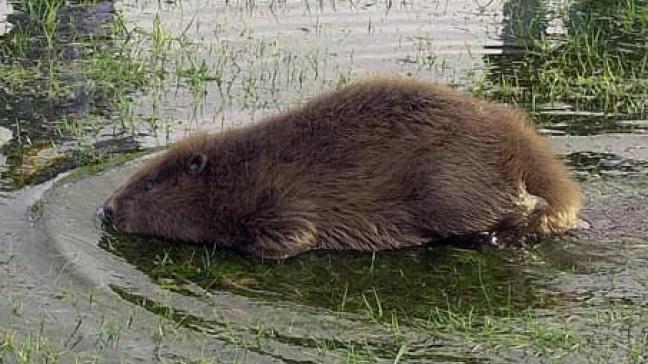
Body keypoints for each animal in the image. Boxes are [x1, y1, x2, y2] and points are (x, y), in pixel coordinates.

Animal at [100, 77, 584, 258]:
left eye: (150, 184)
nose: (106, 209)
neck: (246, 169)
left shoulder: (287, 201)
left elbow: (287, 239)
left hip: (452, 189)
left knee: (520, 209)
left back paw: (498, 236)